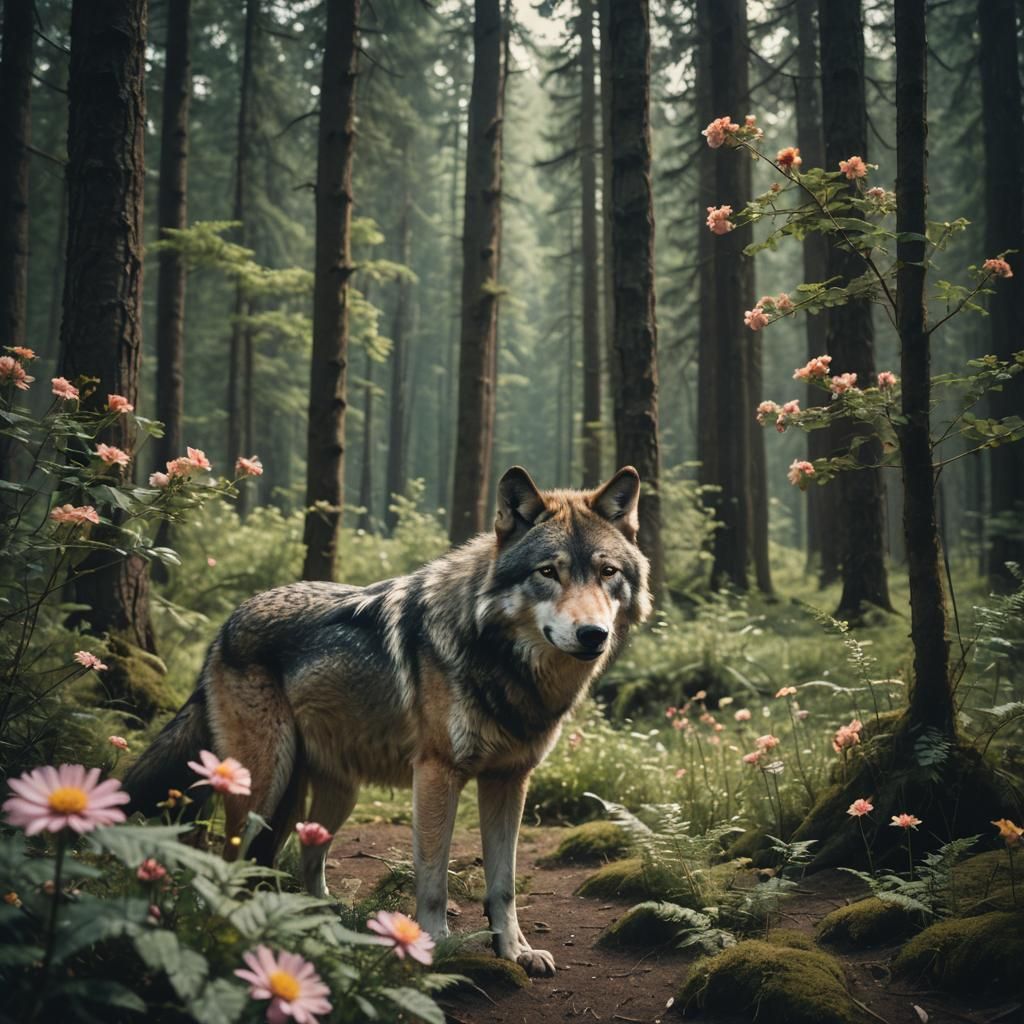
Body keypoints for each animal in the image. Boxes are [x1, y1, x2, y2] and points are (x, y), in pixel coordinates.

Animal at [124, 465, 651, 976]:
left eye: (607, 572)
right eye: (548, 572)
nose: (593, 634)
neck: (504, 664)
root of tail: (226, 625)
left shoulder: (509, 780)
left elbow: (504, 885)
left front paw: (516, 952)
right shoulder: (437, 774)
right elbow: (434, 880)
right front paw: (434, 947)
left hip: (329, 797)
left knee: (301, 862)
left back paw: (319, 926)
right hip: (263, 786)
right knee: (230, 862)